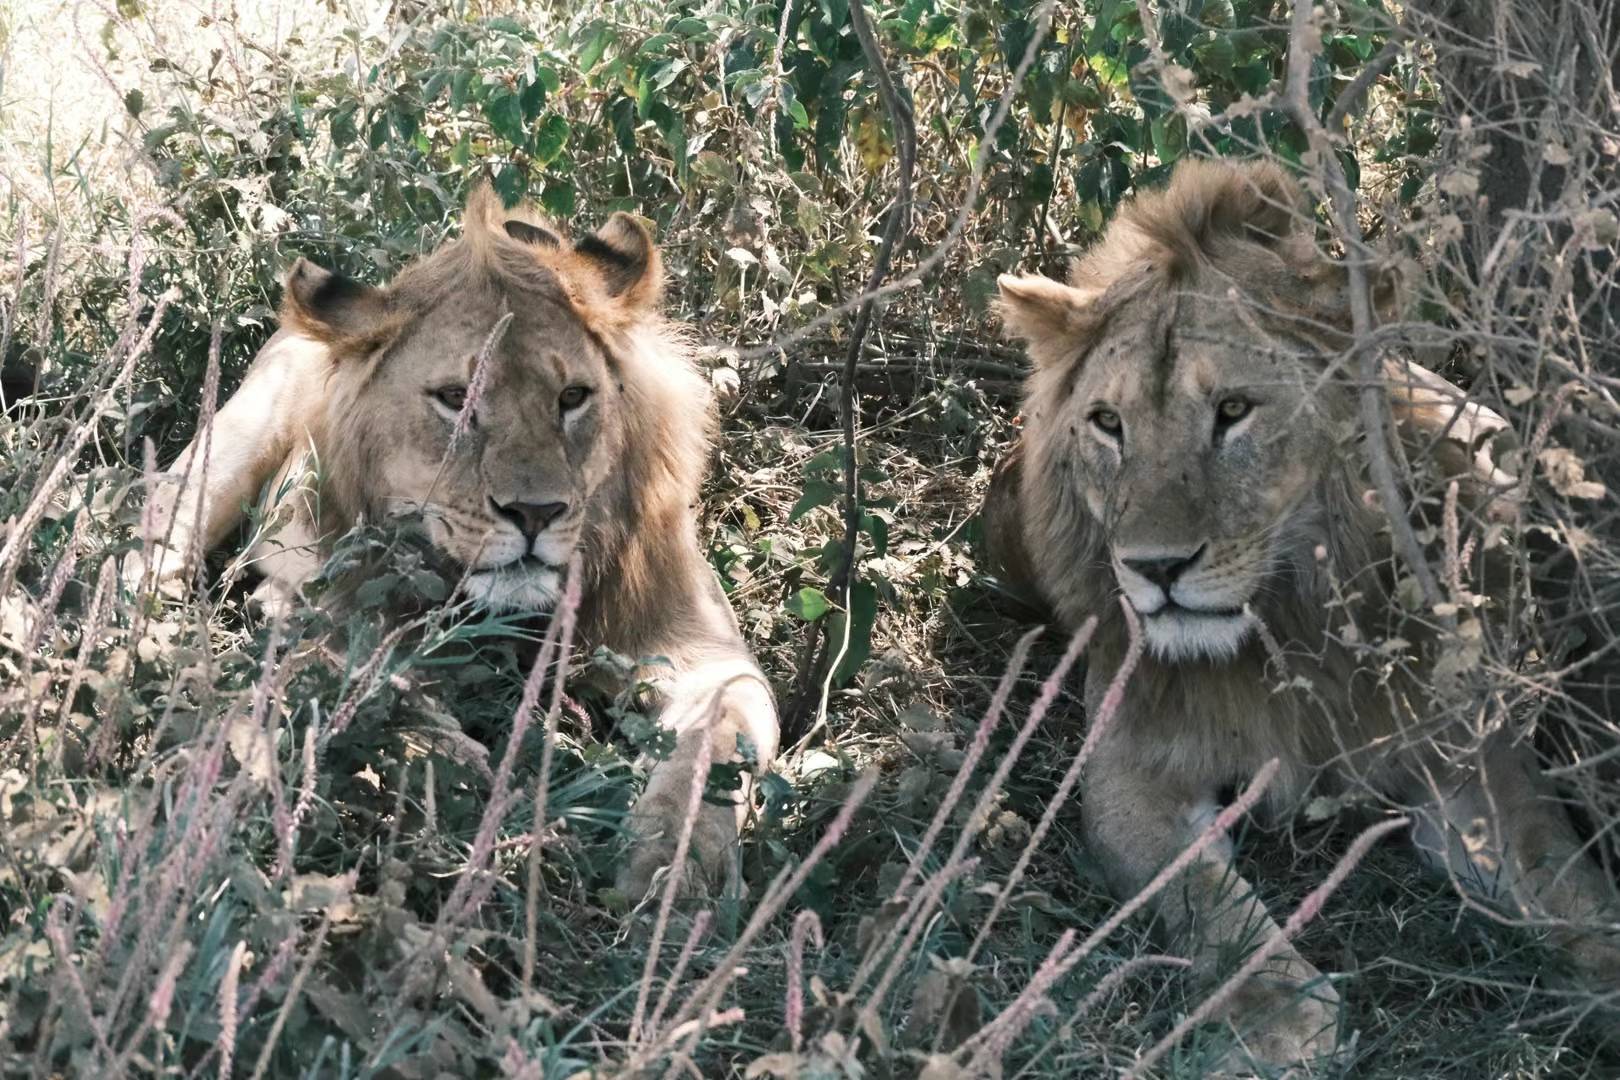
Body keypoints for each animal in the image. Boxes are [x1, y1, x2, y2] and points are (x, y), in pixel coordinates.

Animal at [134, 184, 778, 902]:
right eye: (454, 398)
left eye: (573, 397)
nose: (535, 512)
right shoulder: (349, 621)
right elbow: (392, 699)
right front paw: (487, 792)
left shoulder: (710, 656)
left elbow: (716, 746)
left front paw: (673, 864)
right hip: (231, 448)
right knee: (148, 550)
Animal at [983, 158, 1620, 1070]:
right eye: (1108, 424)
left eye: (1233, 411)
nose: (1155, 569)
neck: (1287, 626)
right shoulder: (1128, 772)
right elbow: (1207, 904)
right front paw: (1281, 1023)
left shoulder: (1462, 759)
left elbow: (1565, 878)